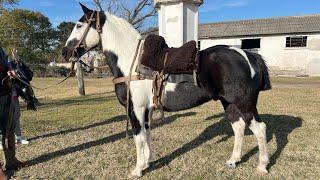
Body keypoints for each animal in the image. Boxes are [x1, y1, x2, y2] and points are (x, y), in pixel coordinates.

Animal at [63, 3, 272, 177]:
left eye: (80, 25)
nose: (65, 52)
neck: (131, 61)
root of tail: (248, 55)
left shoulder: (135, 109)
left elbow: (138, 138)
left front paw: (138, 169)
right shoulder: (145, 110)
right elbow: (147, 135)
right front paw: (147, 162)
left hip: (244, 104)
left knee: (260, 129)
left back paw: (262, 166)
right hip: (228, 103)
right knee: (239, 127)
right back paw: (233, 161)